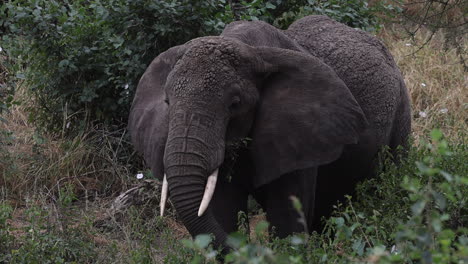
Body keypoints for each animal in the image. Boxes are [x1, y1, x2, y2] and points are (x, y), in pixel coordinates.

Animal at [127, 15, 410, 249]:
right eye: (167, 102)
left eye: (235, 104)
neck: (251, 51)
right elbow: (222, 212)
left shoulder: (301, 133)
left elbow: (287, 222)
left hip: (402, 111)